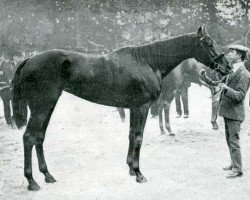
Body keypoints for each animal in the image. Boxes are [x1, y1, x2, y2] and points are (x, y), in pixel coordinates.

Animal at [11, 27, 230, 191]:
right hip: (41, 106)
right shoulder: (142, 107)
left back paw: (47, 175)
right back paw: (32, 182)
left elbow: (132, 135)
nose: (226, 67)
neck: (148, 61)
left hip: (47, 105)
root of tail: (28, 60)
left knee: (39, 137)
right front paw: (139, 173)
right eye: (209, 43)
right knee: (29, 137)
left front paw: (131, 169)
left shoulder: (134, 108)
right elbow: (139, 137)